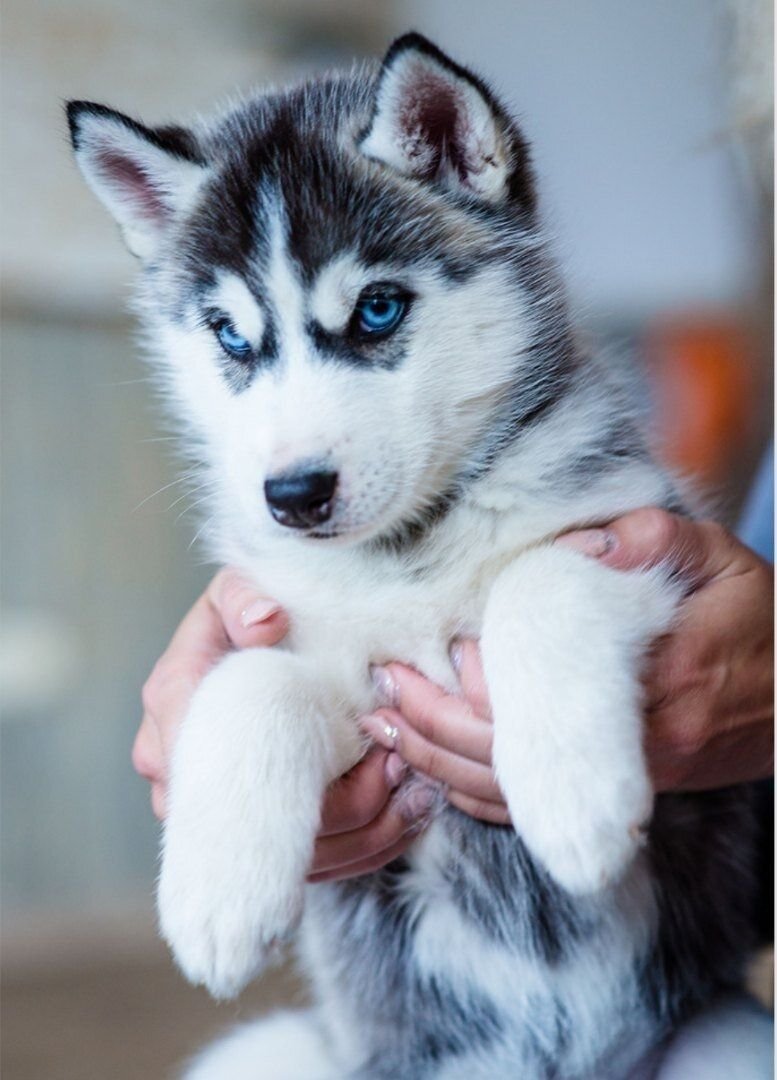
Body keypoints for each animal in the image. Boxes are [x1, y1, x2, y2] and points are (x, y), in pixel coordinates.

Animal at [69, 33, 769, 1080]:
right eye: (231, 335)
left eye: (376, 310)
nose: (292, 496)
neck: (412, 554)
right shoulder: (364, 697)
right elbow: (250, 684)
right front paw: (215, 897)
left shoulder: (646, 536)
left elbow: (538, 579)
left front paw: (575, 799)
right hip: (268, 1053)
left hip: (726, 1039)